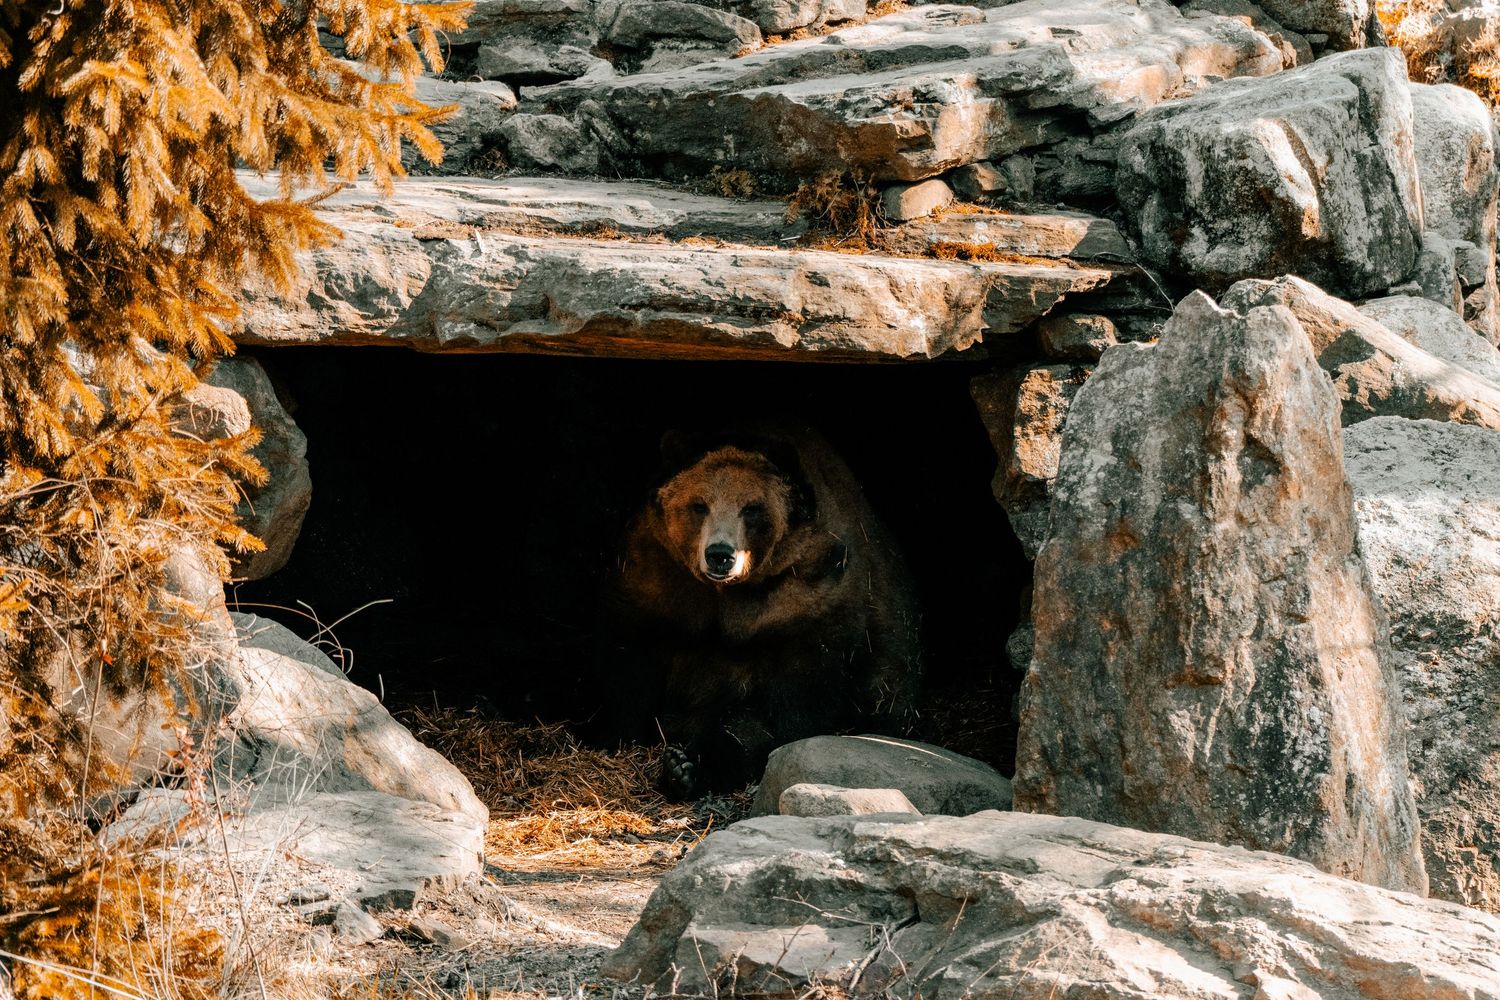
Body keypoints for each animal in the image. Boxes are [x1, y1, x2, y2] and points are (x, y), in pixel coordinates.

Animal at [595, 422, 921, 800]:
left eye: (751, 508)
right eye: (699, 505)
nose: (720, 554)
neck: (723, 596)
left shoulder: (805, 608)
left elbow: (783, 714)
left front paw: (694, 764)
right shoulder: (654, 584)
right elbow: (629, 668)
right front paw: (616, 735)